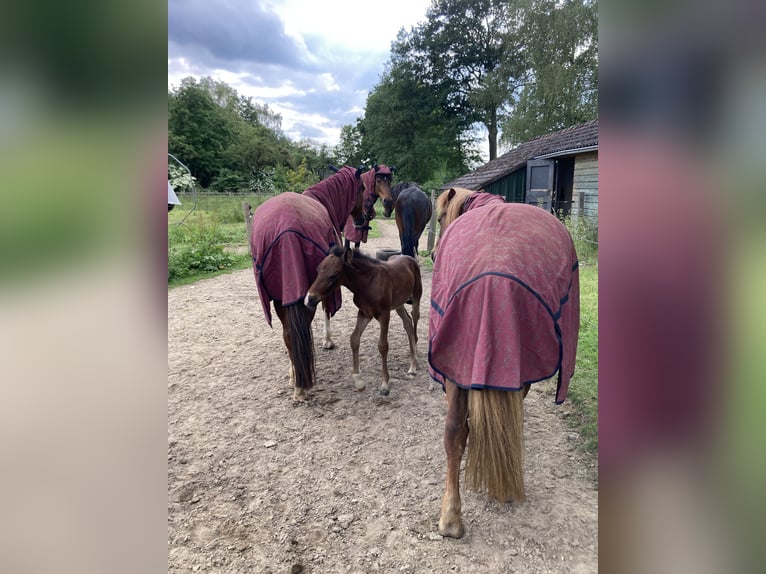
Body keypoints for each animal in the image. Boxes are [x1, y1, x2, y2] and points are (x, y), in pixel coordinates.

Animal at [252, 164, 396, 402]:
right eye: (363, 187)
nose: (365, 217)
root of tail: (285, 229)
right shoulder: (323, 288)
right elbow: (327, 310)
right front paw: (328, 341)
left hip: (279, 298)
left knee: (288, 335)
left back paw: (295, 377)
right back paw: (301, 385)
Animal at [304, 245, 424, 398]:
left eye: (333, 275)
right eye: (318, 270)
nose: (310, 299)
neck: (368, 283)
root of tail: (410, 258)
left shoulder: (384, 315)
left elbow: (383, 346)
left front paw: (385, 385)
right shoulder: (364, 313)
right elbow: (354, 339)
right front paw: (358, 381)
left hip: (416, 297)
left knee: (414, 320)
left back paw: (414, 365)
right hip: (398, 304)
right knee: (408, 323)